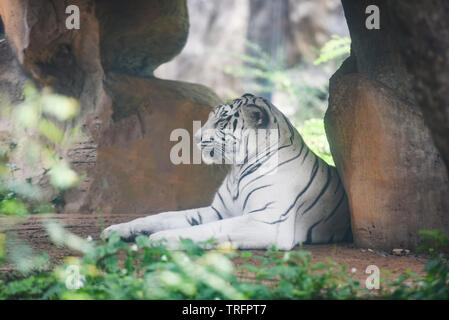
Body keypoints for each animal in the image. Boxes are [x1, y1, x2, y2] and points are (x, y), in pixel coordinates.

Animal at [103, 93, 352, 250]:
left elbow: (208, 229)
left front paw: (160, 238)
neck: (237, 170)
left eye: (221, 122)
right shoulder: (218, 210)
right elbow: (162, 216)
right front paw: (118, 229)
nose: (196, 137)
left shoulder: (268, 222)